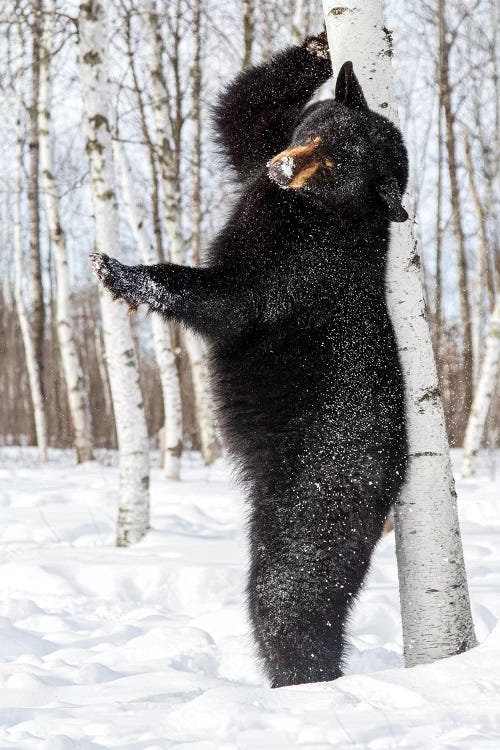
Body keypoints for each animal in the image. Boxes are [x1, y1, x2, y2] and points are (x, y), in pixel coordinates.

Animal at [92, 32, 408, 692]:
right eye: (316, 131)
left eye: (339, 167)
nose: (283, 170)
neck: (311, 212)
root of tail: (391, 483)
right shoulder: (263, 162)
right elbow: (241, 117)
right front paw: (319, 47)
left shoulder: (300, 266)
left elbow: (232, 300)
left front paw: (121, 272)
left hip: (316, 495)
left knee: (289, 592)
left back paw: (302, 680)